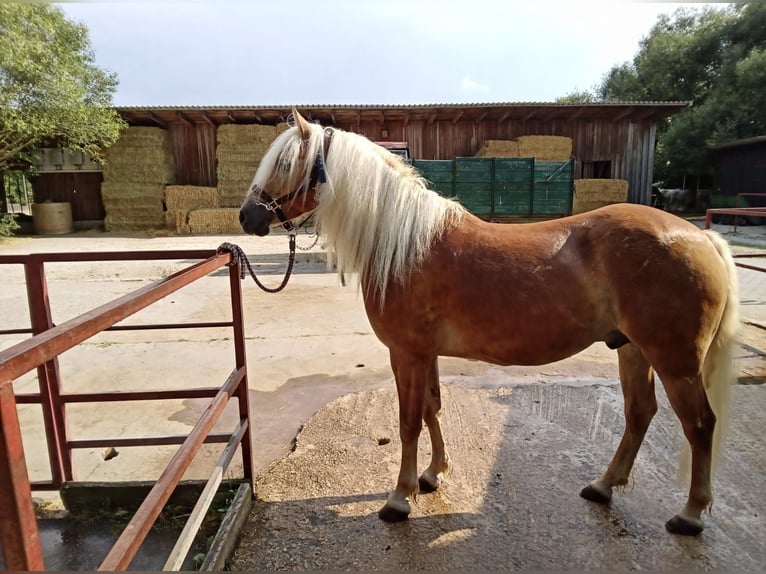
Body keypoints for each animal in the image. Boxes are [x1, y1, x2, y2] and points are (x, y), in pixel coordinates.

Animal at [239, 110, 740, 536]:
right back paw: (602, 486)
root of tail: (701, 237)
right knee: (640, 413)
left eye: (286, 163)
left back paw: (690, 514)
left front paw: (399, 498)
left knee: (700, 425)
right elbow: (432, 409)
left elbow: (408, 422)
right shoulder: (425, 353)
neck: (403, 243)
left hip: (676, 361)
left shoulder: (406, 353)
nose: (247, 217)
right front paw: (433, 475)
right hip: (633, 349)